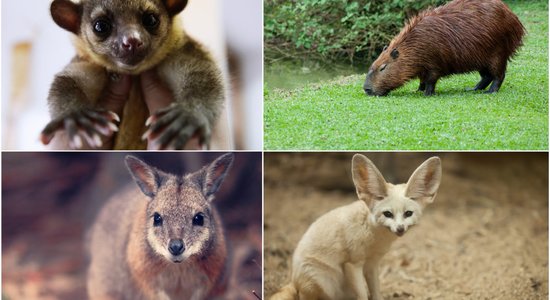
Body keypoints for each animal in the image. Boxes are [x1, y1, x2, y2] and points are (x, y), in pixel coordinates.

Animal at [87, 154, 234, 298]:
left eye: (199, 218)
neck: (179, 267)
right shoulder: (143, 274)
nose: (176, 247)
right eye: (157, 218)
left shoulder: (212, 275)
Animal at [272, 155, 444, 300]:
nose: (400, 229)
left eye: (408, 213)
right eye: (388, 214)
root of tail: (294, 280)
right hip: (324, 282)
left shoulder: (372, 264)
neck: (374, 237)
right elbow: (362, 295)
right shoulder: (353, 264)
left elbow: (376, 293)